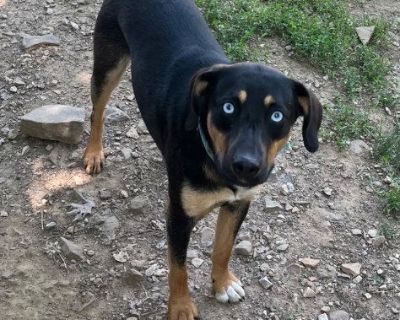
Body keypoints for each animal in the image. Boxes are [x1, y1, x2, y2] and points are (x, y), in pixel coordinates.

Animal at [83, 1, 324, 318]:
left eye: (277, 115)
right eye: (228, 107)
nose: (246, 166)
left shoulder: (238, 204)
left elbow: (224, 248)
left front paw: (222, 284)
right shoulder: (178, 217)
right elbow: (178, 269)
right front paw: (181, 307)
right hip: (108, 62)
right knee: (97, 112)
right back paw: (93, 152)